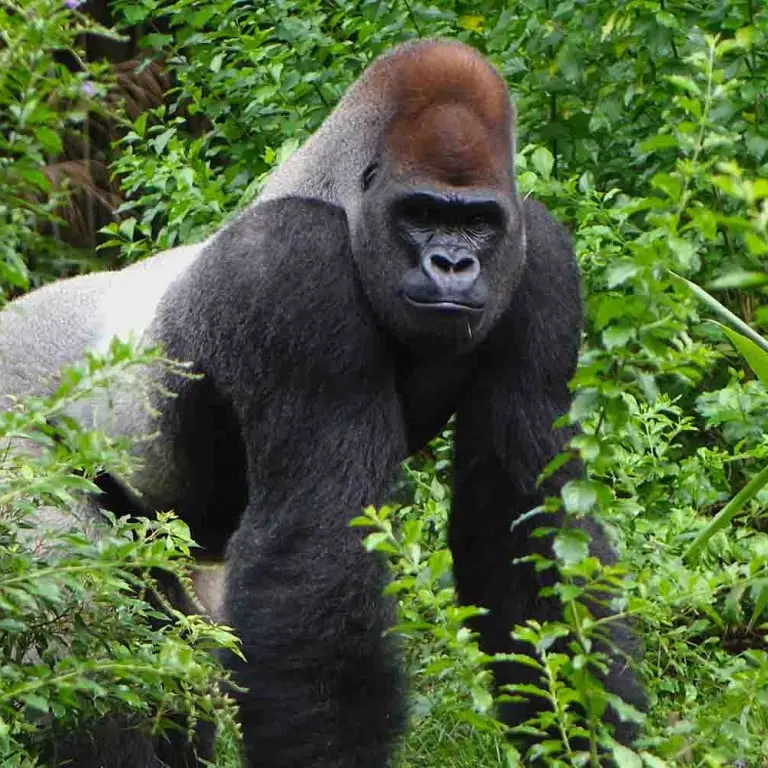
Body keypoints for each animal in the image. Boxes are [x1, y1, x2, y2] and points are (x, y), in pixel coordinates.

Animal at [0, 39, 644, 766]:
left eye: (477, 221)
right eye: (421, 213)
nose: (454, 265)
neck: (334, 193)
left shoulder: (543, 258)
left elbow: (525, 522)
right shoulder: (294, 266)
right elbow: (321, 544)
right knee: (81, 626)